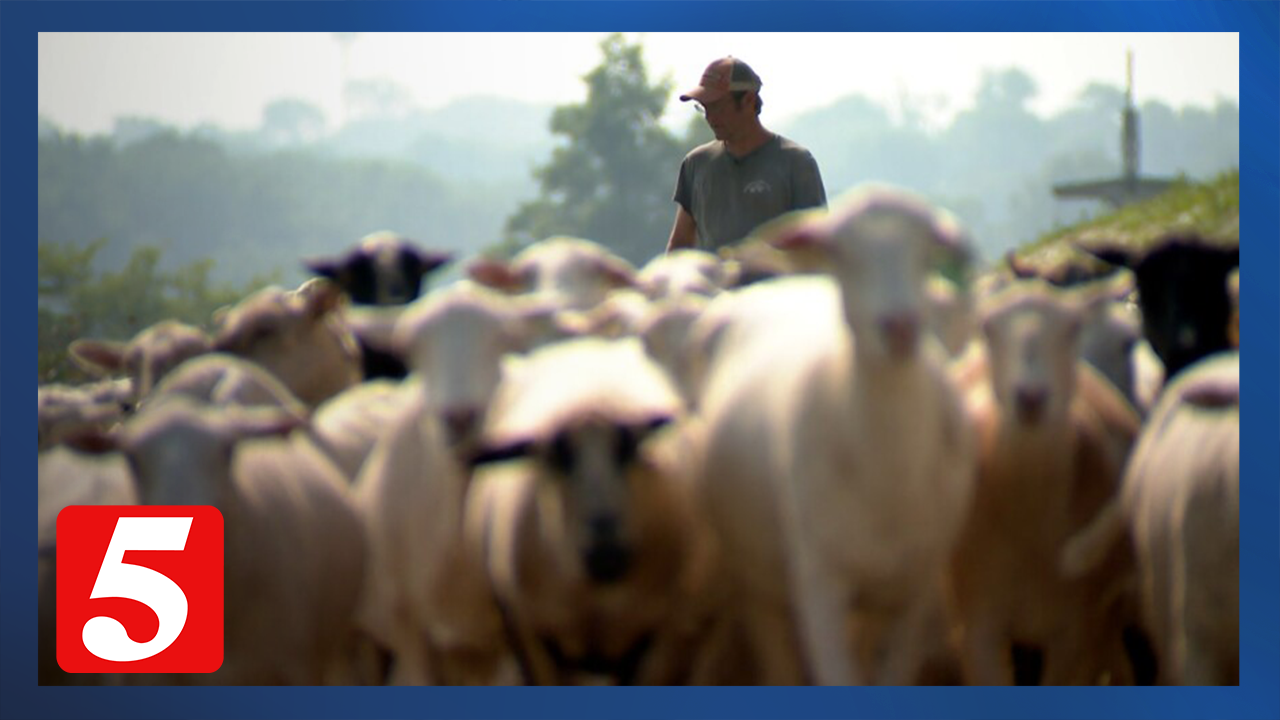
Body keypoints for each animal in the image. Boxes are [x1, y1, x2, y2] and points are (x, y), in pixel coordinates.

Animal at [464, 336, 713, 685]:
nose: (606, 546)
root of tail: (583, 343)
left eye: (628, 449)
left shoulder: (660, 637)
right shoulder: (532, 638)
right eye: (555, 458)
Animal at [691, 186, 976, 686]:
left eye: (926, 253)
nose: (900, 326)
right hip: (758, 578)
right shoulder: (819, 584)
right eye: (841, 252)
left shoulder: (916, 588)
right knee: (777, 654)